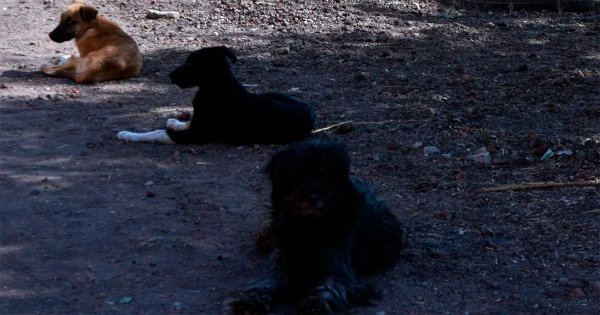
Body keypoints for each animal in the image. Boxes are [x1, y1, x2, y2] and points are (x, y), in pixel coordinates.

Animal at [116, 46, 314, 145]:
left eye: (190, 64)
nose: (170, 75)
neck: (216, 86)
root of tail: (311, 111)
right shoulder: (198, 122)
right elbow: (189, 121)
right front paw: (176, 123)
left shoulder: (196, 136)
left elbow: (157, 133)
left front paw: (130, 135)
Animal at [227, 140, 406, 314]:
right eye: (298, 175)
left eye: (324, 173)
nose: (313, 198)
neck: (311, 225)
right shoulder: (282, 260)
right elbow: (267, 281)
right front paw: (251, 299)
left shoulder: (337, 267)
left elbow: (331, 286)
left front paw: (317, 302)